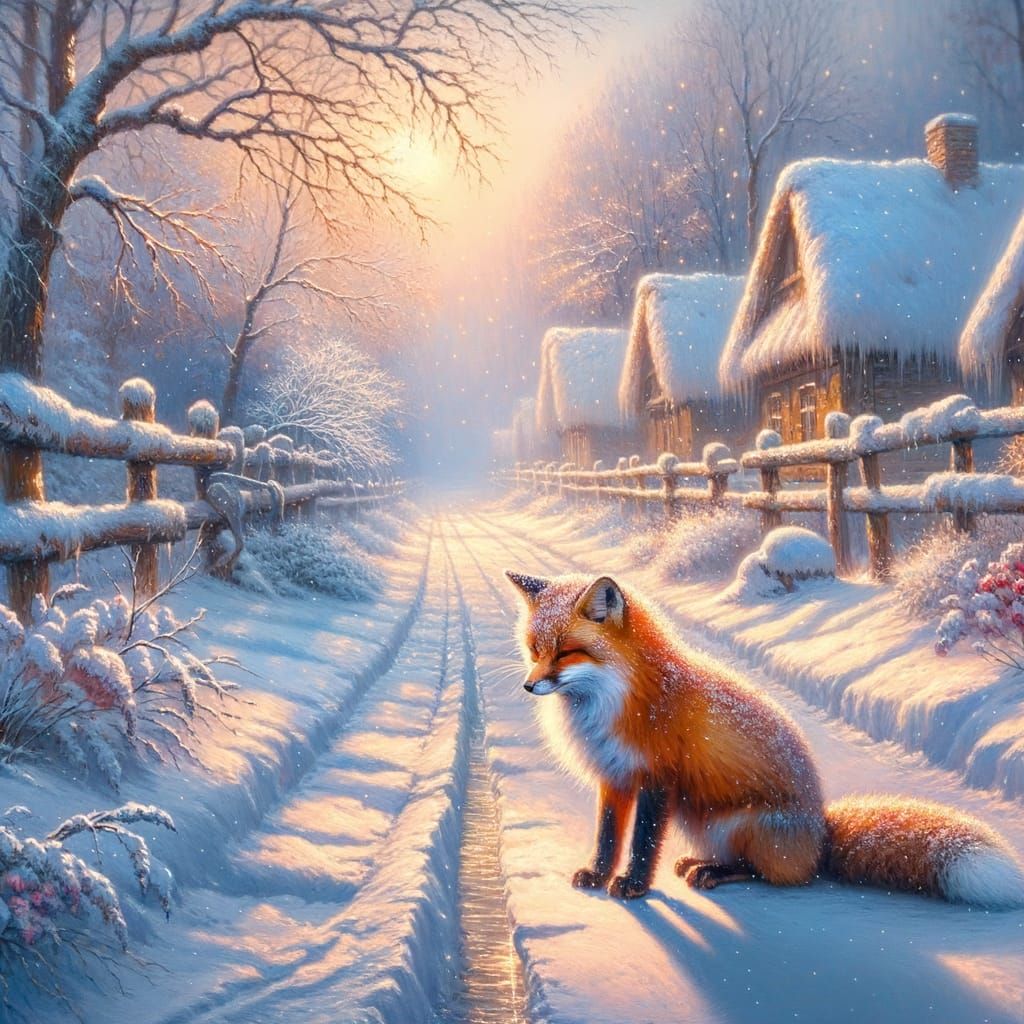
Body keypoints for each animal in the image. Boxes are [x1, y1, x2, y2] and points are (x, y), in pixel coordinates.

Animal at [505, 569, 1024, 907]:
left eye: (566, 653)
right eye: (534, 650)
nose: (528, 687)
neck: (616, 702)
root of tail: (820, 832)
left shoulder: (657, 777)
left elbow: (643, 840)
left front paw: (634, 886)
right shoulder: (613, 778)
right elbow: (608, 835)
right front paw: (597, 875)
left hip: (736, 823)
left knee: (768, 874)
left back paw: (712, 873)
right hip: (705, 822)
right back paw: (698, 864)